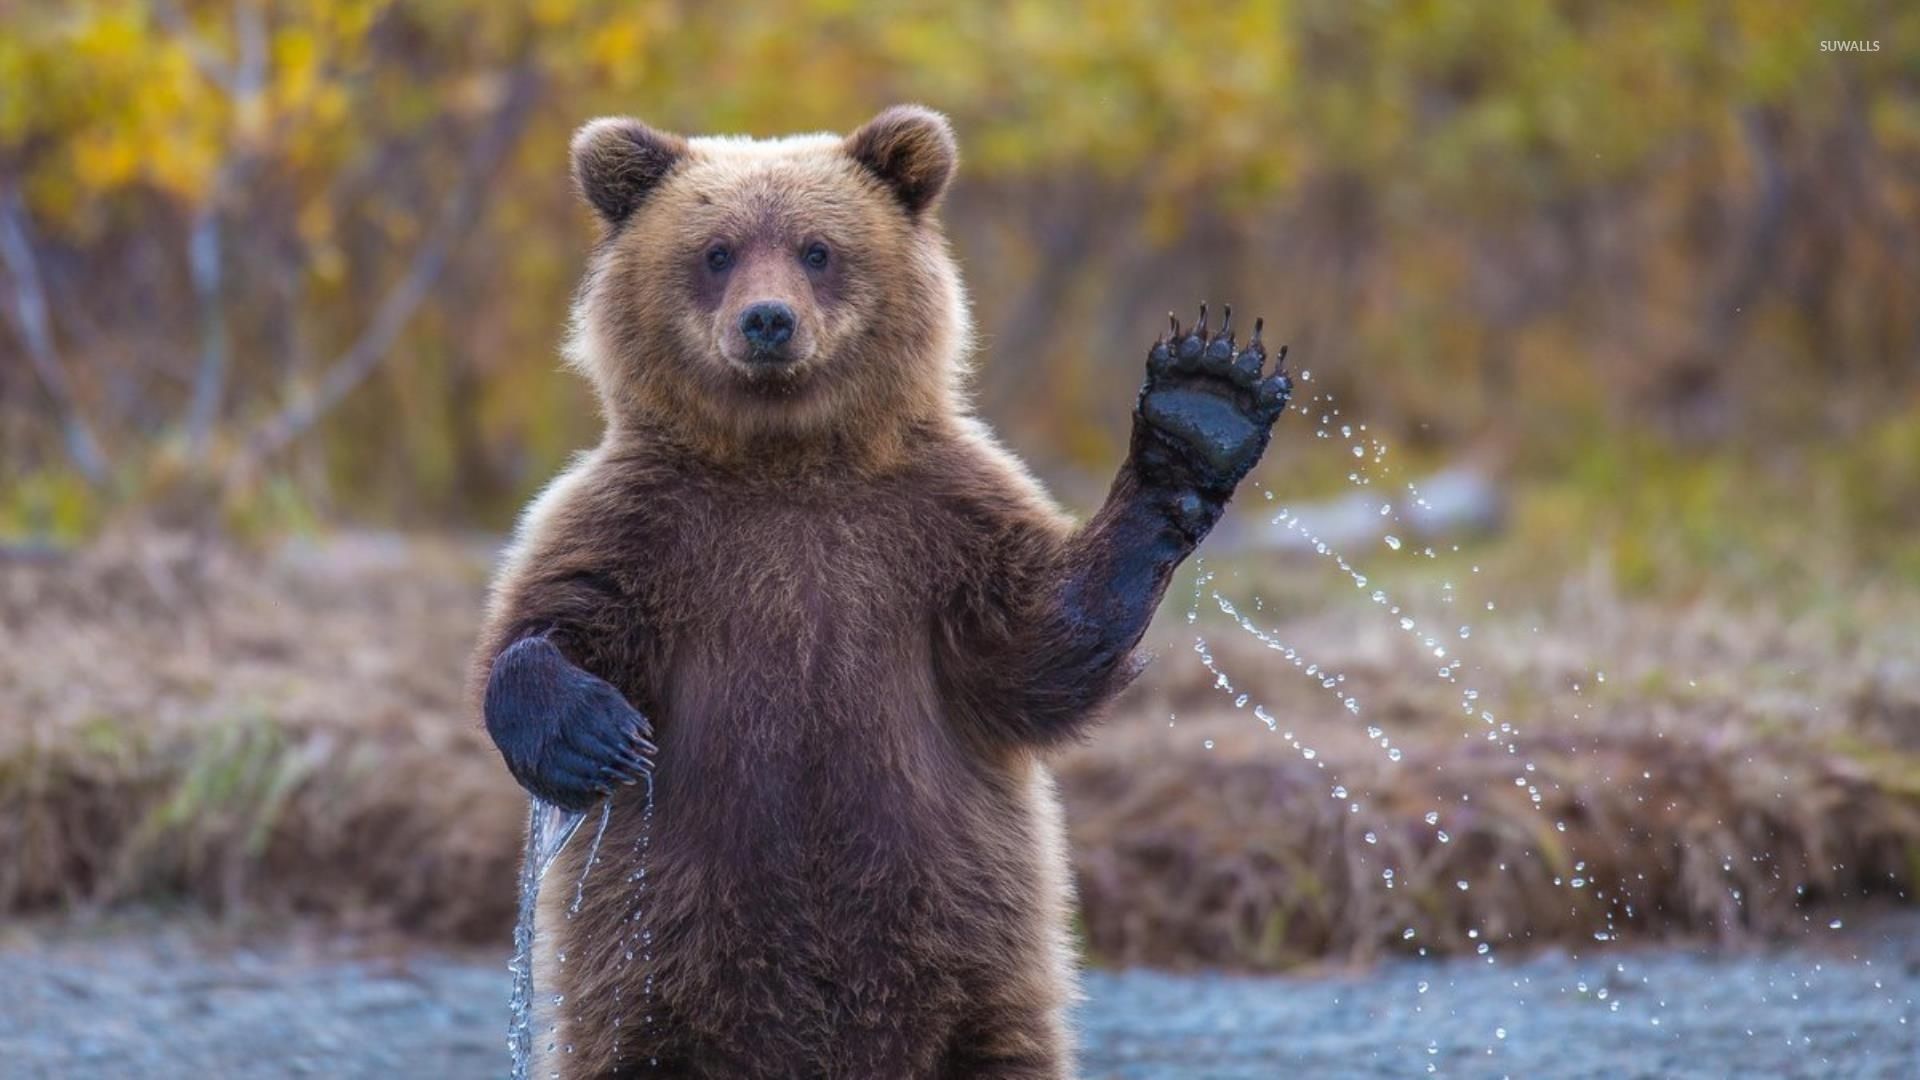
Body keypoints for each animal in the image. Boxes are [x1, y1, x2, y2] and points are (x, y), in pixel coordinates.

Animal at [473, 104, 1291, 1079]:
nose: (768, 321)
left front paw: (1202, 407)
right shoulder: (644, 525)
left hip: (978, 976)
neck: (787, 458)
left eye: (818, 248)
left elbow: (1037, 650)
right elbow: (550, 621)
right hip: (651, 983)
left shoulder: (934, 525)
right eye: (716, 251)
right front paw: (590, 736)